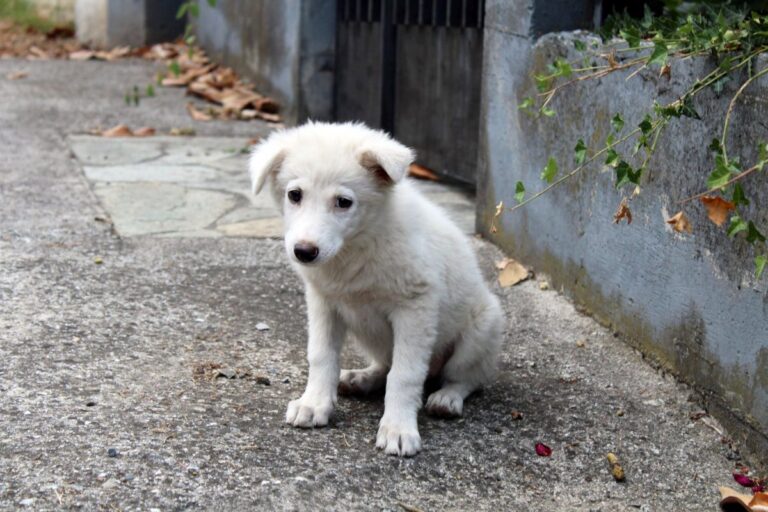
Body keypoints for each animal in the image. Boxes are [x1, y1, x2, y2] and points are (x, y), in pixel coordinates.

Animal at [250, 123, 504, 456]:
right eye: (294, 195)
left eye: (344, 202)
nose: (304, 252)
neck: (357, 245)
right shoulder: (323, 302)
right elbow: (321, 356)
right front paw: (314, 403)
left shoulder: (415, 307)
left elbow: (405, 374)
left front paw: (398, 428)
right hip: (371, 336)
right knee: (385, 364)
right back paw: (362, 378)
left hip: (483, 327)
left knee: (467, 377)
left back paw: (447, 398)